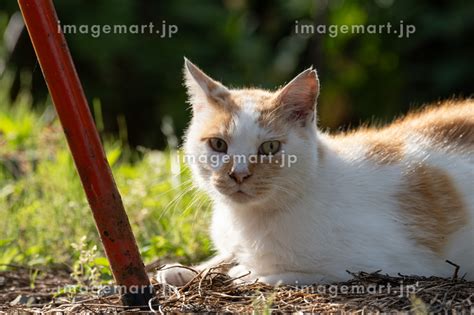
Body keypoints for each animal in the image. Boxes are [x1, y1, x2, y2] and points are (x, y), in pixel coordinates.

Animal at [156, 58, 474, 288]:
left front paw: (244, 271)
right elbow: (225, 254)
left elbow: (283, 273)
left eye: (270, 147)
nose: (239, 174)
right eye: (218, 144)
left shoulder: (391, 264)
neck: (248, 220)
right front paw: (186, 270)